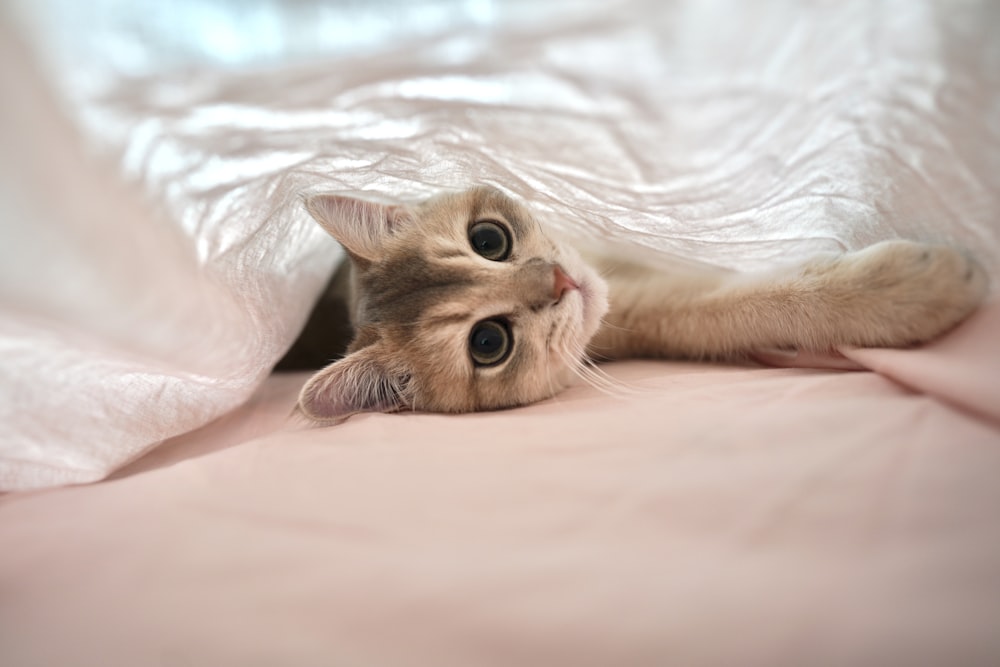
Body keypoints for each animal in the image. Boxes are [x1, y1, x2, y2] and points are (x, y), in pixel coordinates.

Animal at [282, 185, 984, 420]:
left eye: (489, 239)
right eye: (487, 342)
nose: (559, 281)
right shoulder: (635, 313)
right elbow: (713, 310)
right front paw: (910, 289)